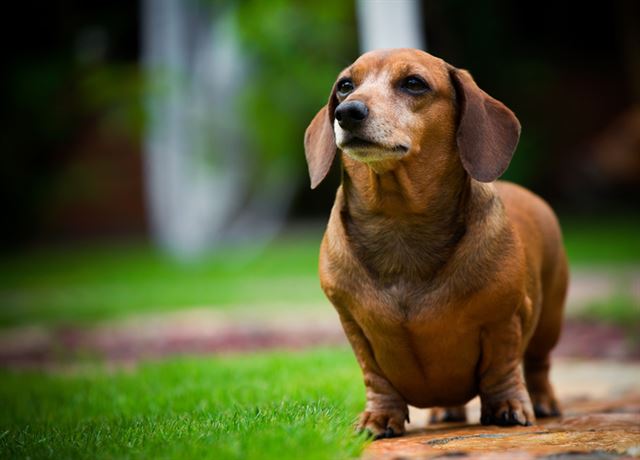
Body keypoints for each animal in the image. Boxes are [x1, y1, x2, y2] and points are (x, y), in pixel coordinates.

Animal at [302, 49, 568, 438]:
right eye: (345, 86)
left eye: (414, 83)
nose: (347, 112)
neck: (399, 221)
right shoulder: (354, 327)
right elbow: (375, 377)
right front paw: (378, 418)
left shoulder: (504, 318)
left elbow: (502, 368)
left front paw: (506, 406)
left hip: (550, 320)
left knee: (537, 364)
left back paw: (544, 401)